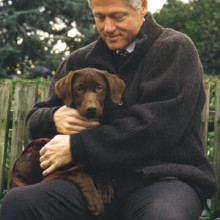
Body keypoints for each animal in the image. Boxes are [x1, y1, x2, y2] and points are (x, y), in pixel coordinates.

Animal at [54, 68, 124, 216]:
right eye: (79, 89)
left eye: (99, 88)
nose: (91, 109)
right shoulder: (58, 166)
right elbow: (82, 174)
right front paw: (95, 201)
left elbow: (101, 164)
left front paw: (105, 188)